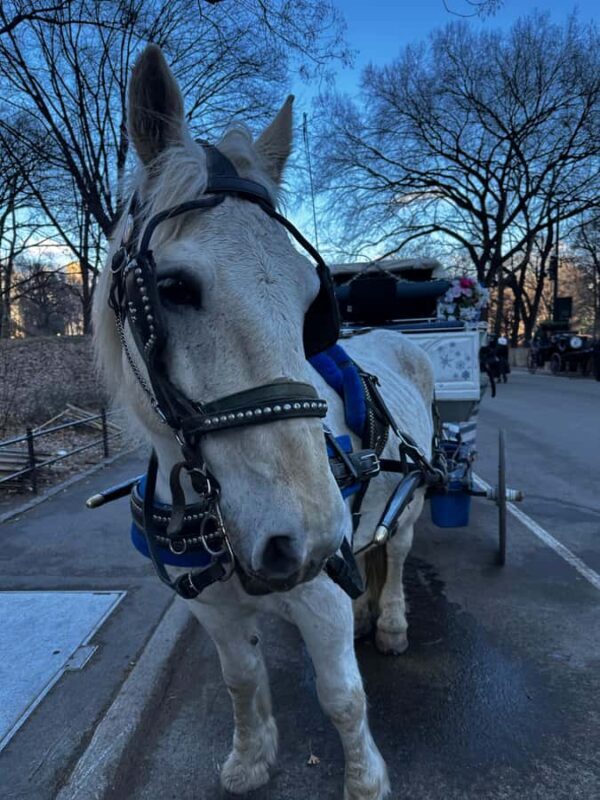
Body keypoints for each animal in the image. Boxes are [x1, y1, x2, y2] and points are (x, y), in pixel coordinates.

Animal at [93, 44, 434, 800]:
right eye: (172, 288)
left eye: (313, 299)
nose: (306, 538)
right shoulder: (213, 611)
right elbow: (240, 680)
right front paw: (251, 759)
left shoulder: (319, 595)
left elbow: (342, 697)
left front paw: (365, 782)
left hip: (411, 494)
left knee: (395, 552)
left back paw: (392, 621)